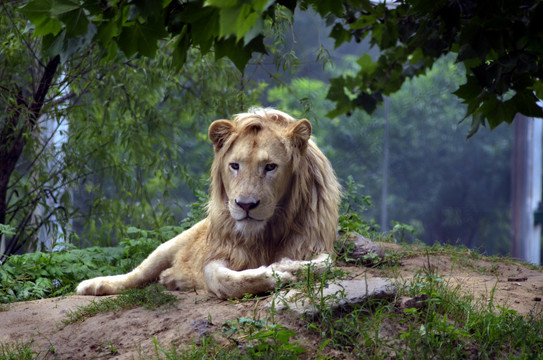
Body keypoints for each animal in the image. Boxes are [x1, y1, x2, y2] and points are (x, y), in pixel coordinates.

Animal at [76, 108, 340, 300]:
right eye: (235, 165)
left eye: (270, 167)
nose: (245, 205)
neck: (267, 232)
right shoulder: (223, 249)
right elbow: (219, 277)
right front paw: (276, 273)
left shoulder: (316, 244)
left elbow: (321, 265)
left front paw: (287, 266)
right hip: (169, 244)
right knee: (136, 274)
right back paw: (93, 285)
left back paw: (170, 278)